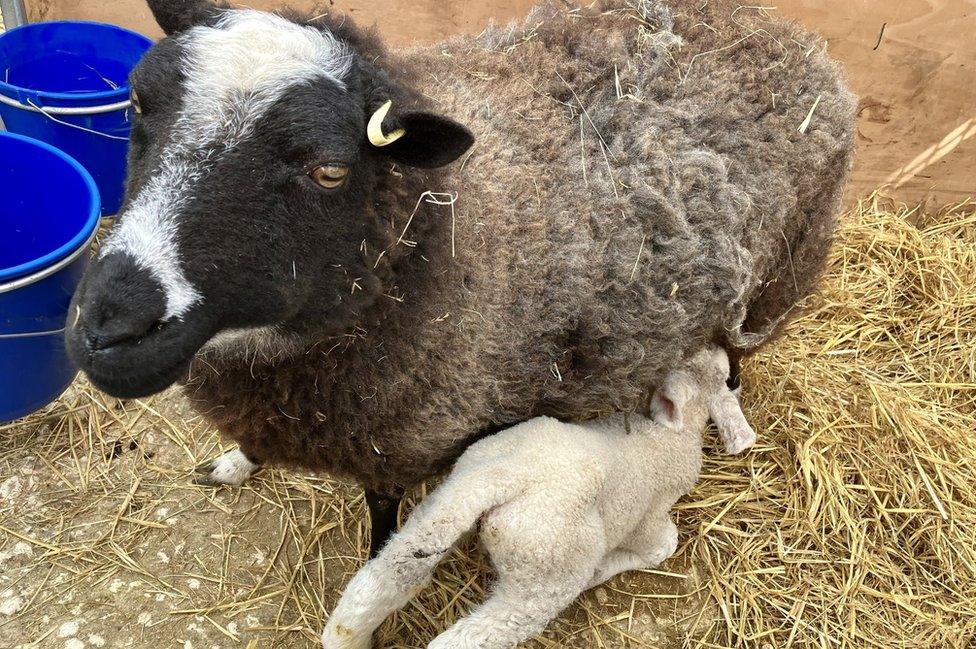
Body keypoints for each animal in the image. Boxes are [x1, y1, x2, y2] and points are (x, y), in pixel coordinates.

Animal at [66, 0, 856, 552]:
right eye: (137, 103)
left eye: (329, 170)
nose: (109, 326)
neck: (441, 231)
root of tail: (781, 31)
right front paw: (235, 462)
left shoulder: (399, 442)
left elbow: (383, 520)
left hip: (781, 275)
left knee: (736, 353)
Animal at [320, 346, 756, 644]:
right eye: (722, 374)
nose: (722, 348)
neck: (672, 433)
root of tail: (509, 480)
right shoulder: (651, 518)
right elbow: (663, 545)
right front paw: (605, 569)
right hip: (543, 578)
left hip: (447, 503)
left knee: (379, 581)